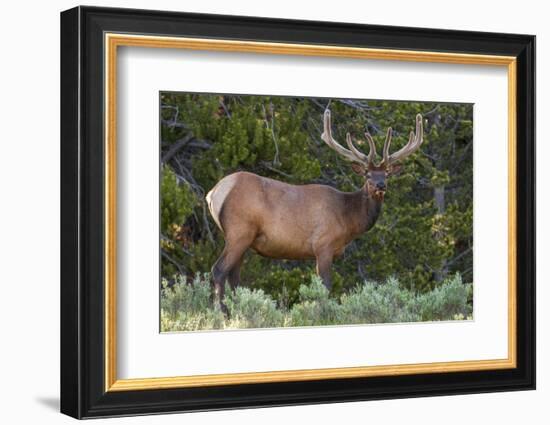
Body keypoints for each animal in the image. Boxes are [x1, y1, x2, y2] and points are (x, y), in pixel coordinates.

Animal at [205, 108, 424, 308]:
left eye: (386, 173)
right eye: (367, 175)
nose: (380, 185)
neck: (348, 219)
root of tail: (214, 193)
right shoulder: (323, 245)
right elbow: (325, 287)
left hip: (242, 238)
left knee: (234, 275)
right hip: (239, 231)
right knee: (218, 270)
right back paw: (222, 313)